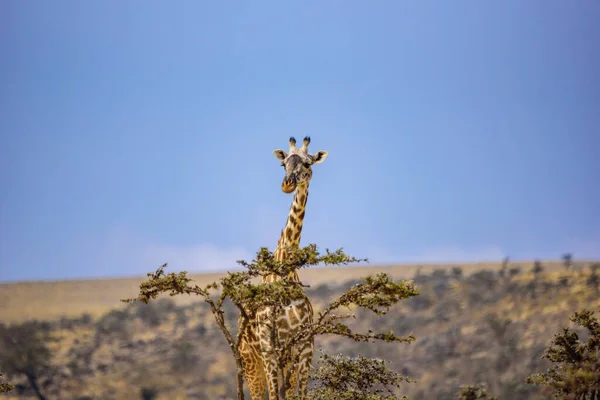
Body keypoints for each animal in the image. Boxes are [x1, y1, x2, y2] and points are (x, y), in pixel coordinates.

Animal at [238, 136, 328, 398]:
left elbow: (300, 395)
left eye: (308, 163)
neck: (284, 272)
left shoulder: (305, 348)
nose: (287, 184)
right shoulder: (269, 349)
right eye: (283, 164)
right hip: (250, 361)